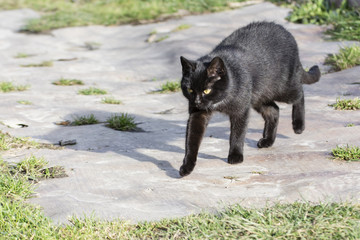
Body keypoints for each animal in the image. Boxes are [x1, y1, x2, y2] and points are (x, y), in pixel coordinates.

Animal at [179, 21, 320, 177]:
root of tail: (286, 32)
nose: (197, 101)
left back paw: (298, 126)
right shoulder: (198, 114)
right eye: (190, 90)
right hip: (258, 97)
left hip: (283, 88)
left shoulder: (241, 110)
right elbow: (191, 140)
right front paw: (187, 166)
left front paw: (235, 156)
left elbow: (237, 134)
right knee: (274, 110)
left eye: (206, 90)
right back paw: (267, 141)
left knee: (300, 94)